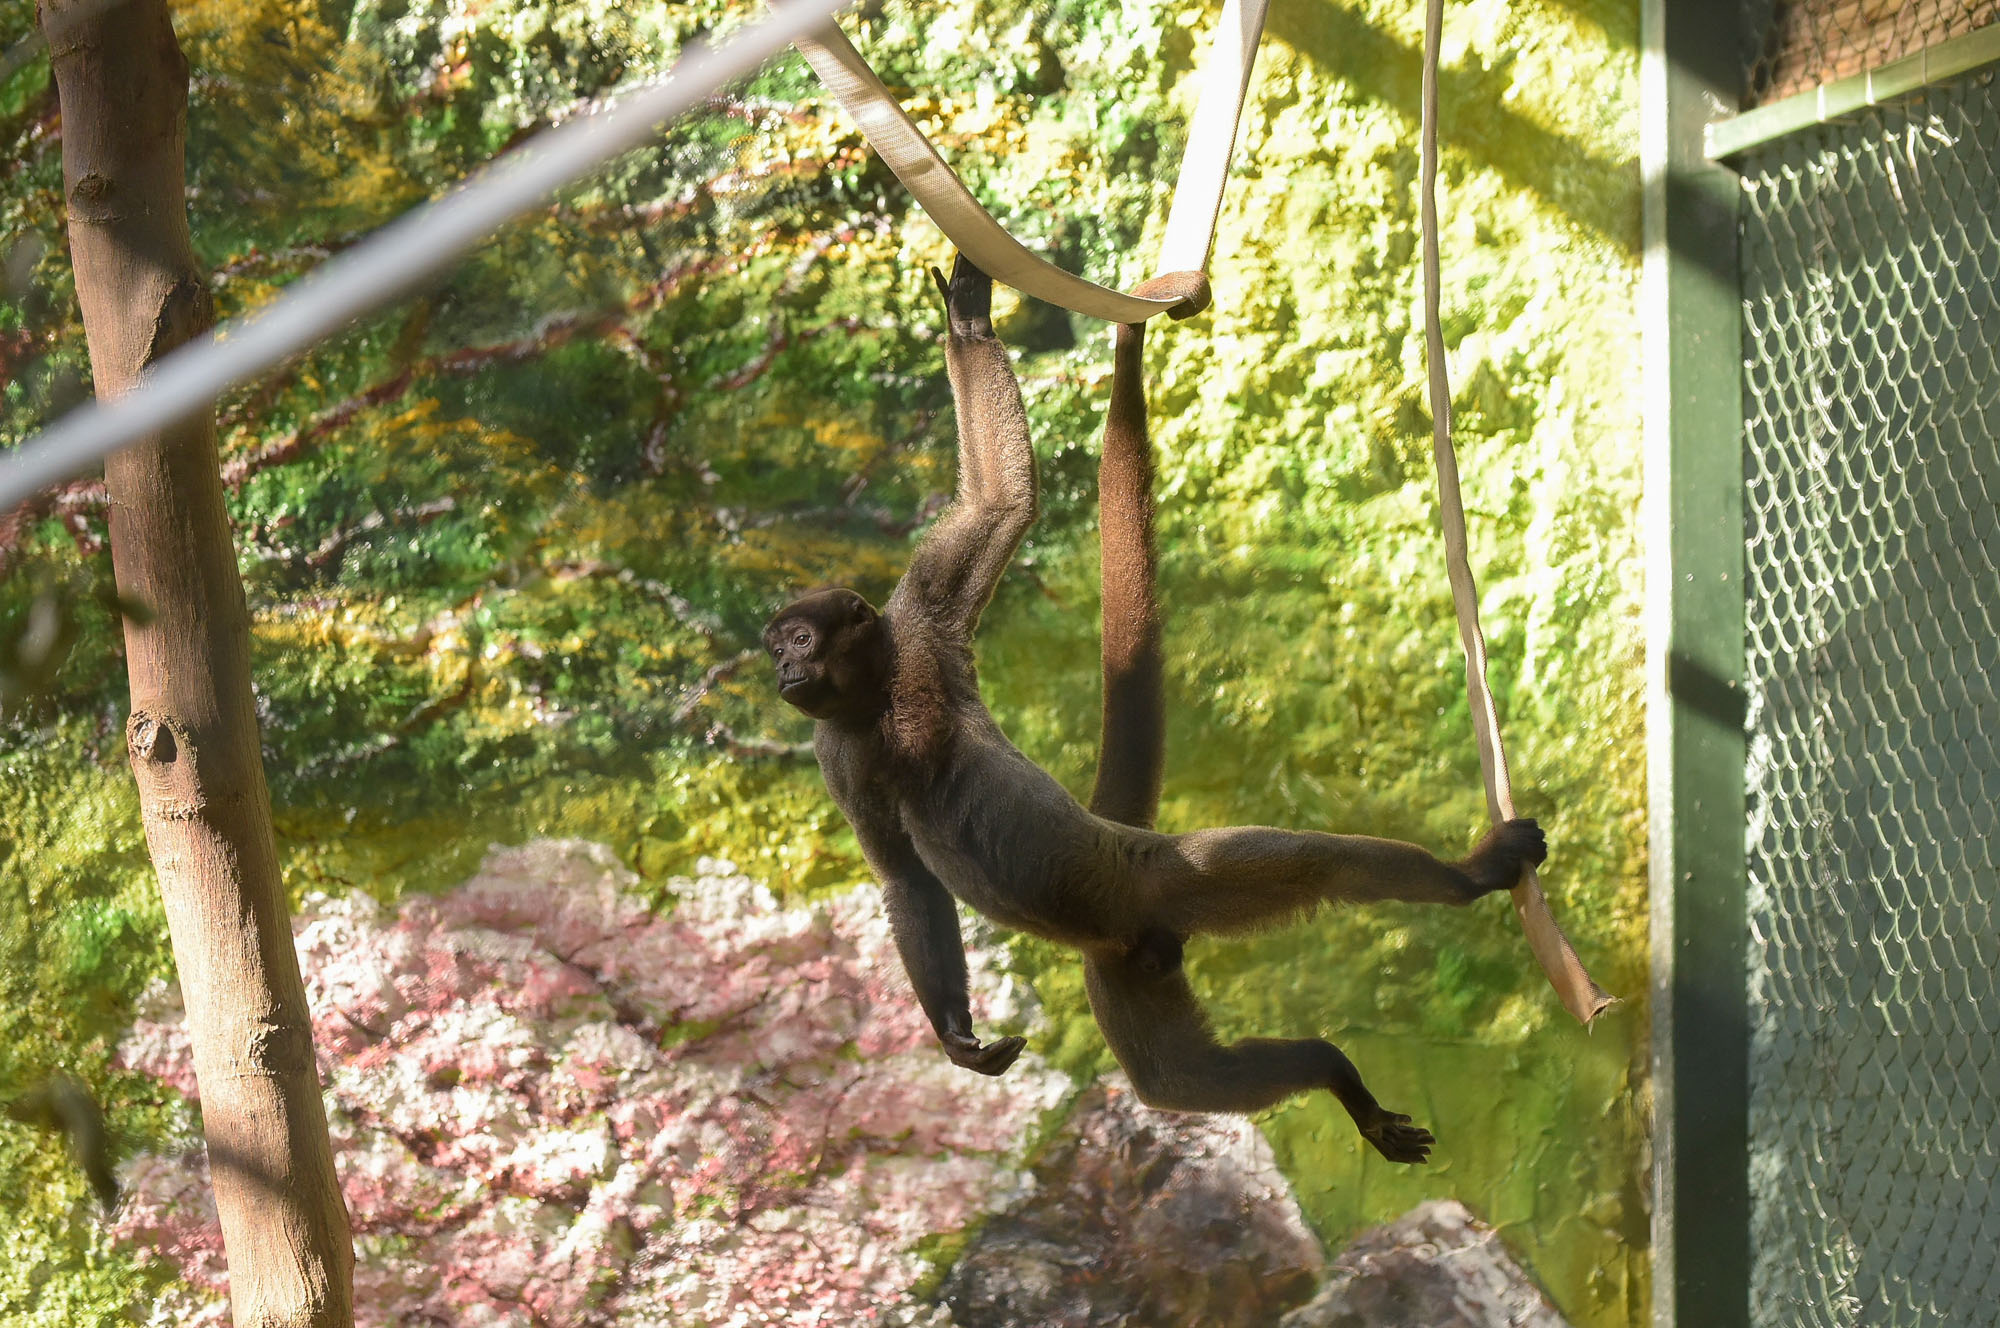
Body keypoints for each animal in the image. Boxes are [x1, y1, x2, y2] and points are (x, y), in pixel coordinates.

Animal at [764, 256, 1546, 1163]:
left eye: (798, 640)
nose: (783, 670)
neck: (879, 701)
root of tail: (1129, 880)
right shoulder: (837, 750)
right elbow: (902, 876)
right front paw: (955, 1031)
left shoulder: (921, 621)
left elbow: (1003, 503)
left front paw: (967, 319)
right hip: (1124, 965)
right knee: (1182, 1081)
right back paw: (1334, 1073)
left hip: (1155, 880)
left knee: (1309, 866)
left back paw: (1464, 882)